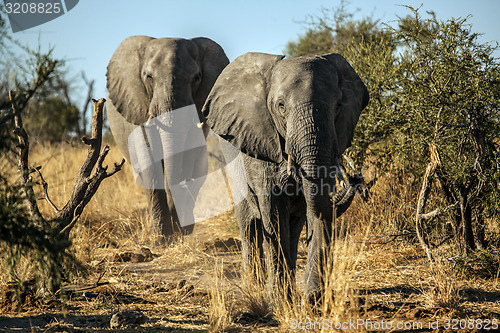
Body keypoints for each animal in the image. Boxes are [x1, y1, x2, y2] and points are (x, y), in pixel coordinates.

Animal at [107, 35, 230, 239]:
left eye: (196, 77)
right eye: (149, 76)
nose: (177, 226)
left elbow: (187, 162)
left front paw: (180, 229)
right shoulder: (138, 109)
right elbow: (151, 166)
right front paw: (160, 239)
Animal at [201, 51, 370, 304]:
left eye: (338, 106)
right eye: (281, 106)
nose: (356, 178)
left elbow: (315, 206)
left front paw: (313, 299)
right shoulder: (262, 143)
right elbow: (273, 209)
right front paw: (280, 302)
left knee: (294, 223)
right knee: (249, 223)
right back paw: (255, 285)